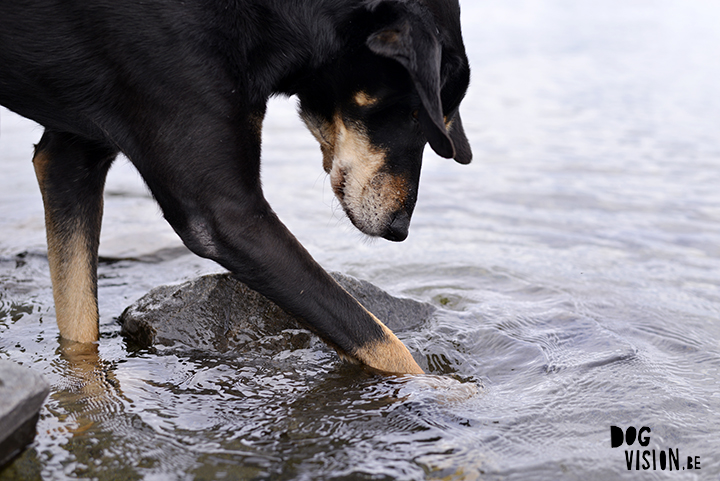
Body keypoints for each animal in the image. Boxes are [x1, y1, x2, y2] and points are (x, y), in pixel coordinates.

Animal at [1, 0, 472, 372]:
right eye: (414, 113)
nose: (400, 228)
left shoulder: (69, 159)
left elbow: (79, 327)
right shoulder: (226, 215)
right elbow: (380, 340)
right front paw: (443, 395)